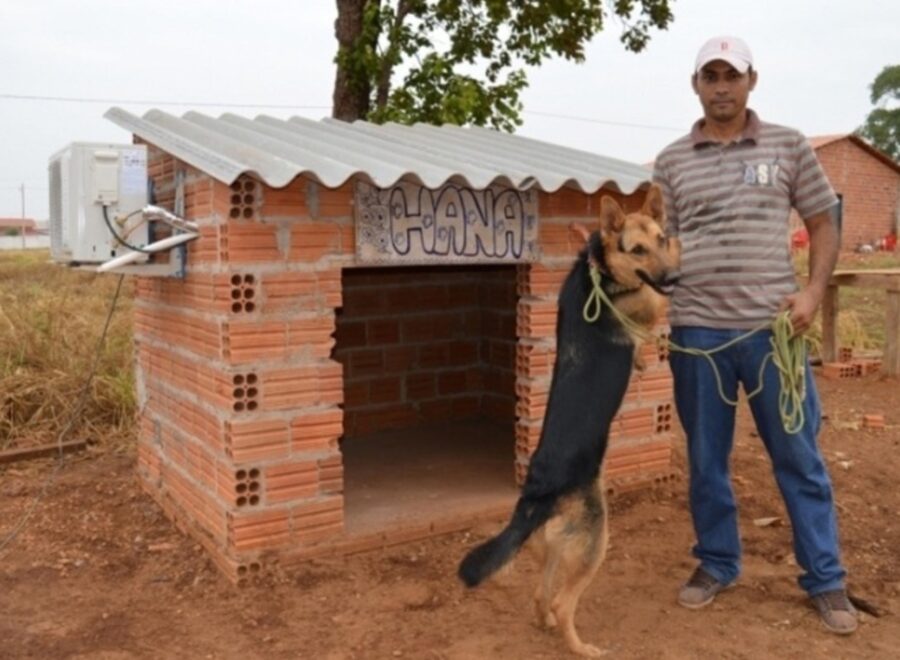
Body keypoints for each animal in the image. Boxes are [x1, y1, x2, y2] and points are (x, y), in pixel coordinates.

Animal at [460, 184, 680, 656]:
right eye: (637, 249)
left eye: (659, 238)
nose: (674, 278)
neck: (598, 274)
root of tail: (536, 497)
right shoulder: (647, 298)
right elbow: (655, 300)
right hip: (596, 539)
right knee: (563, 602)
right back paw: (582, 647)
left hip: (554, 545)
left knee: (541, 593)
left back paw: (544, 622)